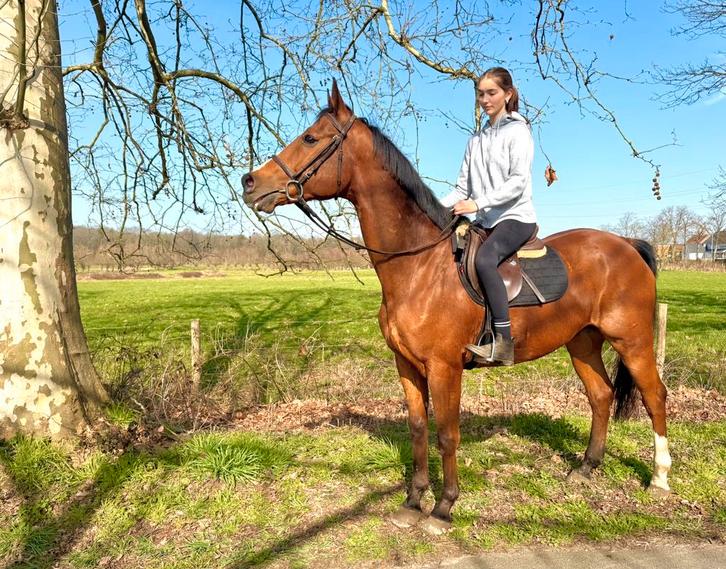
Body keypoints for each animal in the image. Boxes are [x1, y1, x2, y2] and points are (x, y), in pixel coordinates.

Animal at [241, 81, 671, 535]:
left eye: (310, 138)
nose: (250, 182)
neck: (418, 265)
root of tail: (627, 245)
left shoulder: (444, 367)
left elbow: (447, 434)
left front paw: (444, 507)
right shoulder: (407, 364)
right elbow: (418, 428)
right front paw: (413, 501)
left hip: (632, 340)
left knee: (654, 395)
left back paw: (659, 478)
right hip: (582, 343)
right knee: (601, 396)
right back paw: (587, 467)